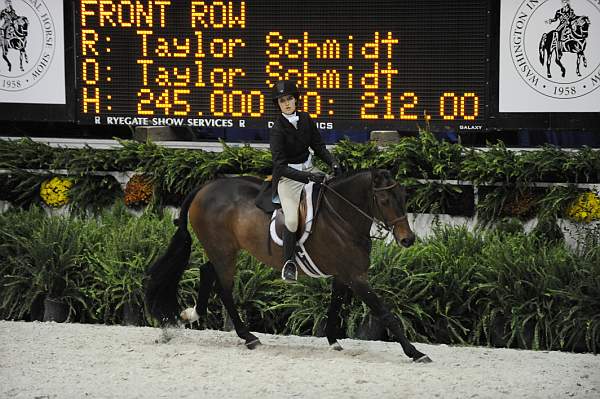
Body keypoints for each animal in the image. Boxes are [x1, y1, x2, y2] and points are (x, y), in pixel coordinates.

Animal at [145, 169, 432, 362]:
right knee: (224, 289)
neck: (341, 216)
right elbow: (386, 314)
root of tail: (205, 187)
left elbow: (334, 307)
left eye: (403, 196)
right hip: (224, 252)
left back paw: (192, 315)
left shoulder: (343, 275)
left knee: (207, 272)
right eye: (384, 201)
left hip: (223, 251)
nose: (407, 239)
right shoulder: (356, 278)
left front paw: (333, 340)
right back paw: (248, 337)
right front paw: (415, 352)